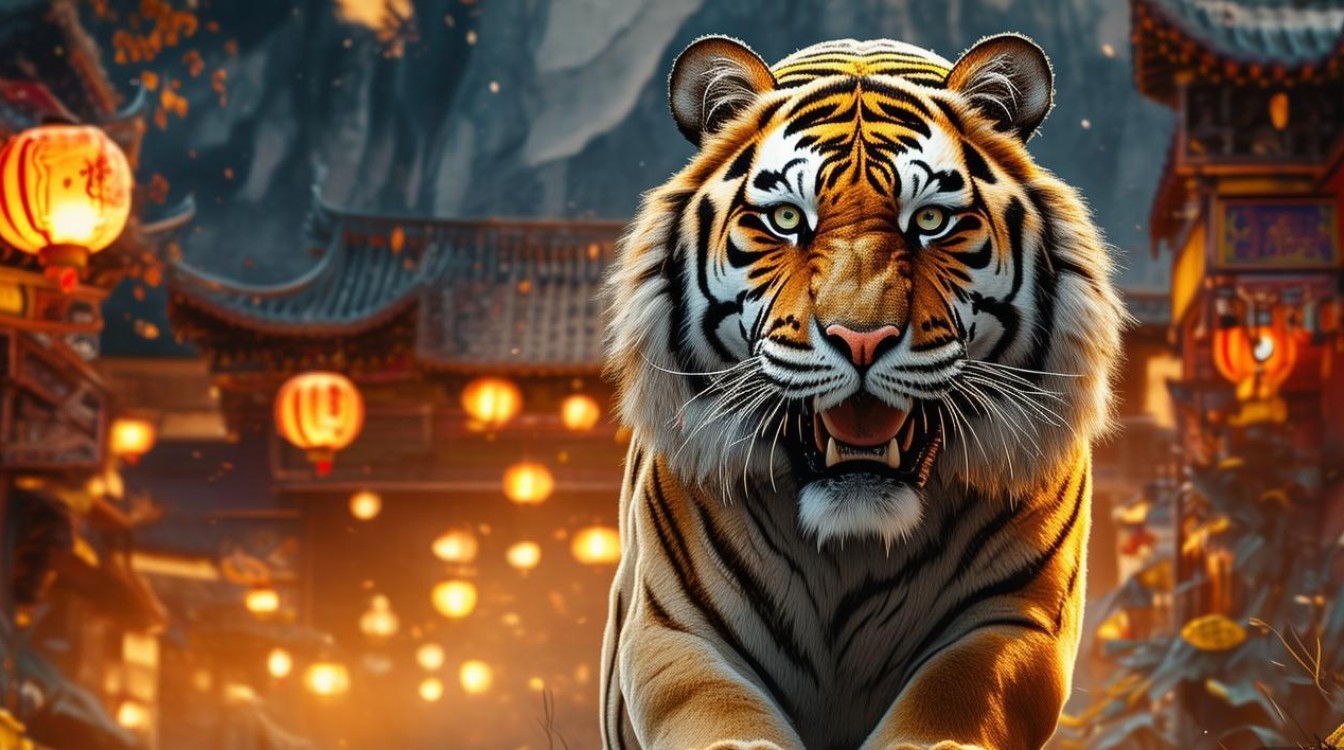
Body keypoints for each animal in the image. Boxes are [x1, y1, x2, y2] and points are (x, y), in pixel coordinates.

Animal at [600, 33, 1124, 750]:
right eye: (786, 218)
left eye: (929, 220)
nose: (862, 338)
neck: (852, 551)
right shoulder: (674, 629)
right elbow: (713, 713)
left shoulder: (1013, 622)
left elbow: (948, 702)